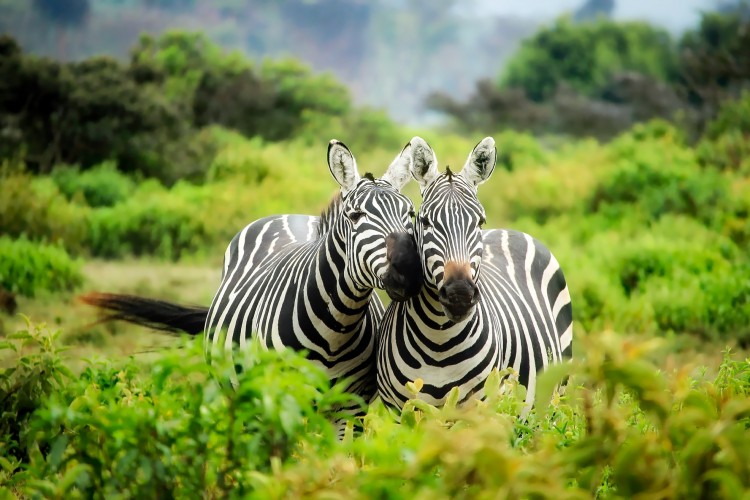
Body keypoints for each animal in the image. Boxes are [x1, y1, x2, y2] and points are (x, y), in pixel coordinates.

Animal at [83, 138, 424, 414]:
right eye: (356, 216)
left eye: (410, 214)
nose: (409, 271)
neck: (336, 328)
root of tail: (289, 215)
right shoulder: (279, 398)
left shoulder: (350, 407)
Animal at [378, 136, 572, 410]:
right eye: (425, 222)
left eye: (480, 221)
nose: (459, 295)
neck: (438, 342)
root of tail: (510, 230)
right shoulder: (399, 409)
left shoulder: (479, 408)